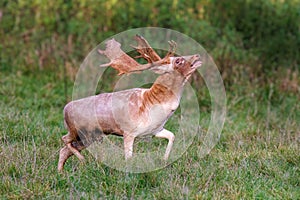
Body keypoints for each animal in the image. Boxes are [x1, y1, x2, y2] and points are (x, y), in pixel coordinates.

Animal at [56, 34, 202, 172]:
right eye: (178, 60)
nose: (197, 55)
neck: (153, 104)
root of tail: (64, 109)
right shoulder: (128, 132)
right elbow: (129, 158)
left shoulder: (155, 130)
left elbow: (172, 136)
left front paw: (164, 160)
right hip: (77, 130)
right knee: (64, 139)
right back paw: (81, 160)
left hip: (89, 136)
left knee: (64, 150)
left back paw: (61, 172)